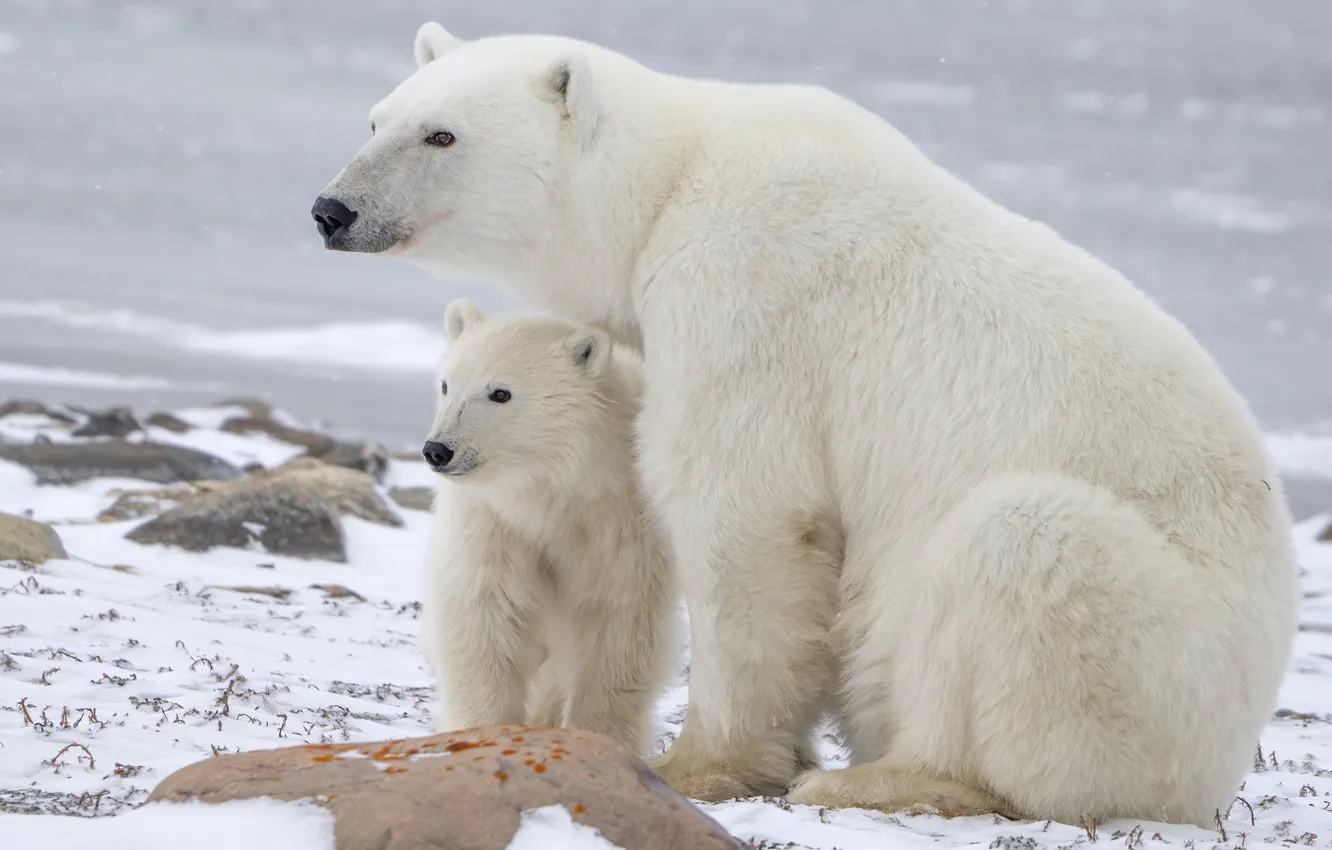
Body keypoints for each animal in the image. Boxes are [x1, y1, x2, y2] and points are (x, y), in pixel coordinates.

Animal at [419, 299, 678, 757]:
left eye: (500, 392)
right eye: (447, 384)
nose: (438, 450)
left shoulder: (621, 524)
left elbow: (617, 628)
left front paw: (597, 740)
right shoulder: (493, 523)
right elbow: (485, 616)